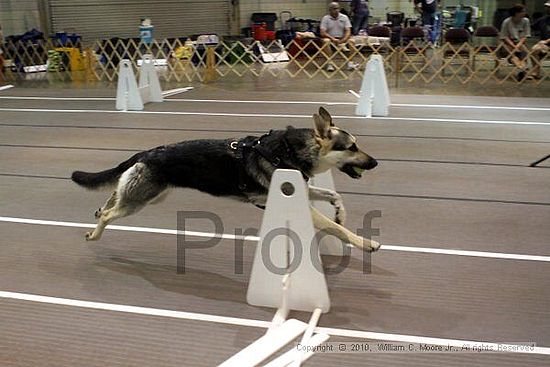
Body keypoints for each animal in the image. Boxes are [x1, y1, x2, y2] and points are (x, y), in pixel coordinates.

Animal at [71, 107, 382, 253]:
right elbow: (337, 229)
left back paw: (100, 208)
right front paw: (365, 243)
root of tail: (148, 152)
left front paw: (342, 213)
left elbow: (335, 198)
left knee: (114, 194)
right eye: (352, 147)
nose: (376, 163)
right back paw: (95, 233)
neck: (289, 151)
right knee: (110, 213)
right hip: (140, 201)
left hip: (152, 195)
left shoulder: (302, 191)